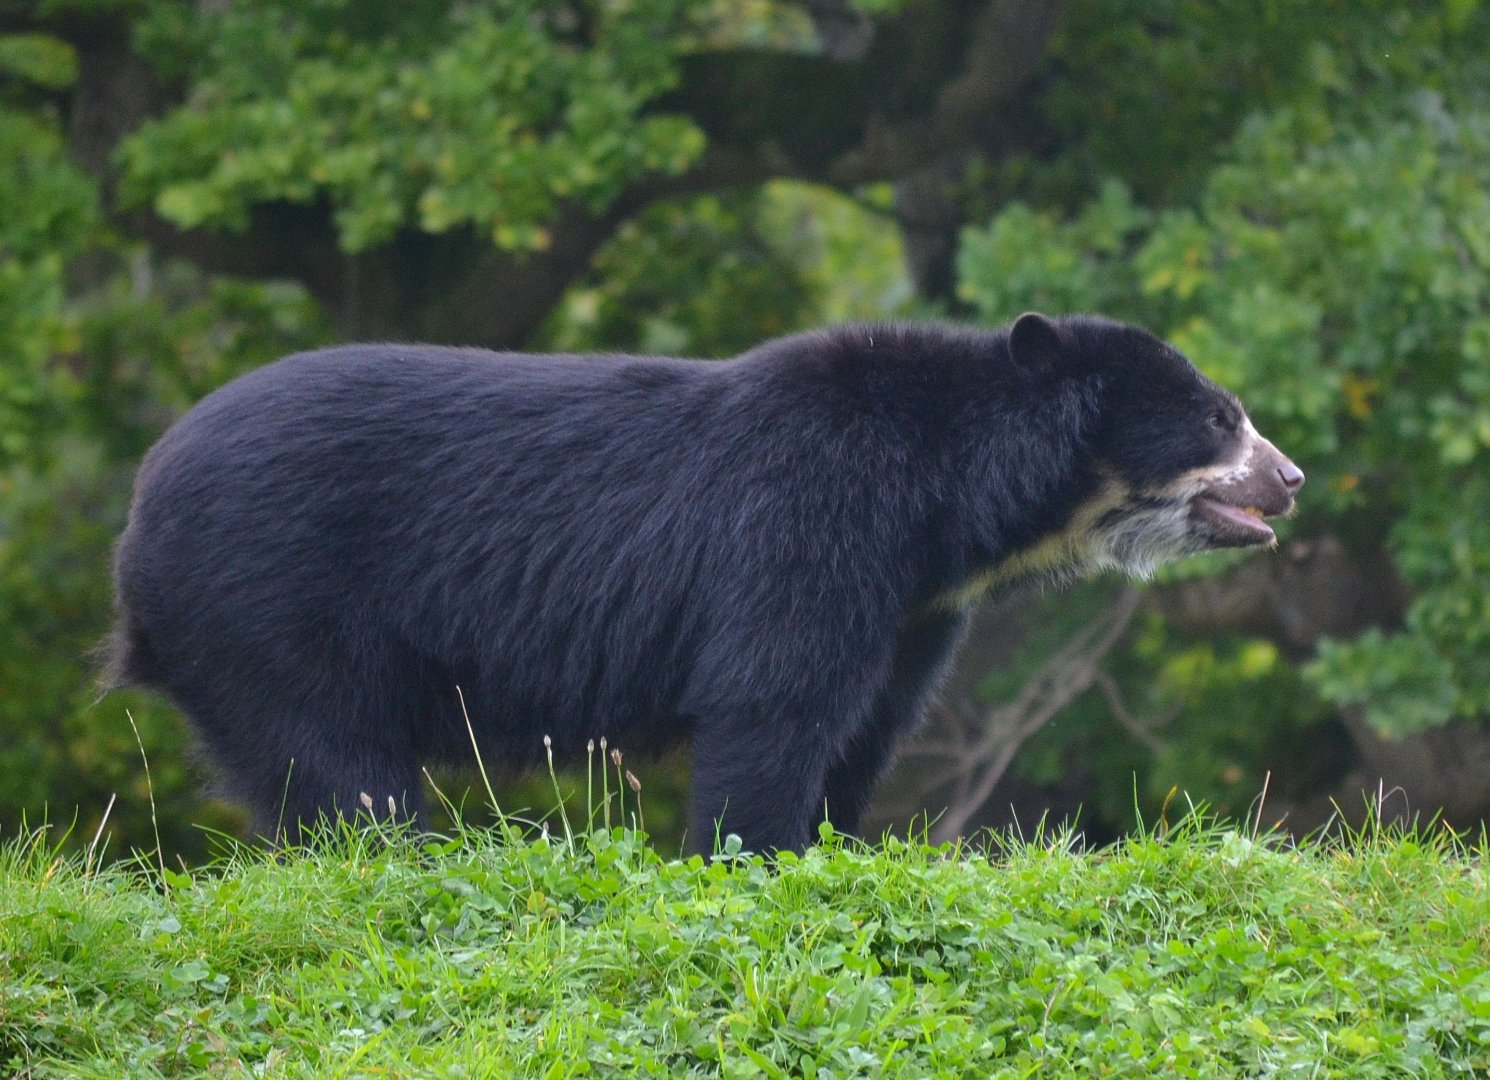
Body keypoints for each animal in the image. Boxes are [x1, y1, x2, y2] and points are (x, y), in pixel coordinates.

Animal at [108, 313, 1303, 853]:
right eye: (1218, 418)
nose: (1290, 480)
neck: (951, 506)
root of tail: (140, 507)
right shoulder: (815, 525)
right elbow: (774, 705)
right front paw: (753, 855)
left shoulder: (914, 606)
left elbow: (863, 727)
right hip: (273, 598)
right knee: (337, 762)